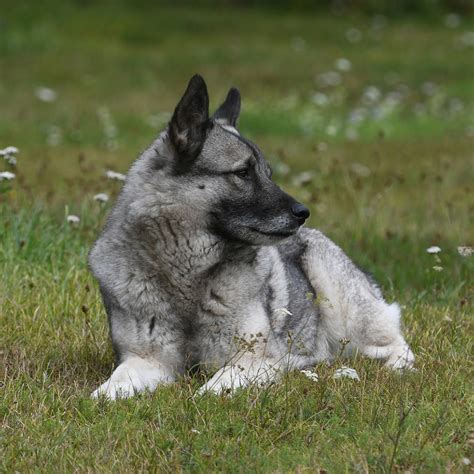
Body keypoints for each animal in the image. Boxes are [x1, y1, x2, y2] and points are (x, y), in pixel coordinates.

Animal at [90, 75, 414, 400]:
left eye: (267, 173)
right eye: (243, 172)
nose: (303, 212)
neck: (188, 275)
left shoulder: (253, 360)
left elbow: (211, 389)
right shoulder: (146, 360)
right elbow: (107, 391)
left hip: (344, 307)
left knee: (396, 344)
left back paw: (395, 368)